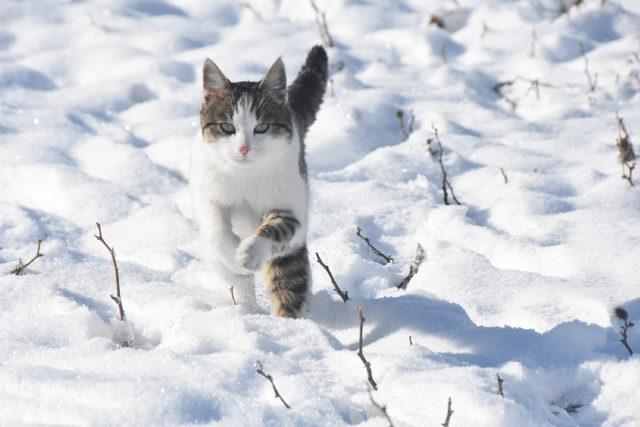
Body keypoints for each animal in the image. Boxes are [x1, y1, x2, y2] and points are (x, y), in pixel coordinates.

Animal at [189, 46, 330, 320]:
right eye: (227, 127)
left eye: (262, 127)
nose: (244, 148)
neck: (246, 176)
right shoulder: (209, 193)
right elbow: (217, 230)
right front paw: (235, 259)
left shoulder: (289, 206)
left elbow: (275, 228)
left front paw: (248, 253)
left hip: (290, 251)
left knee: (289, 282)